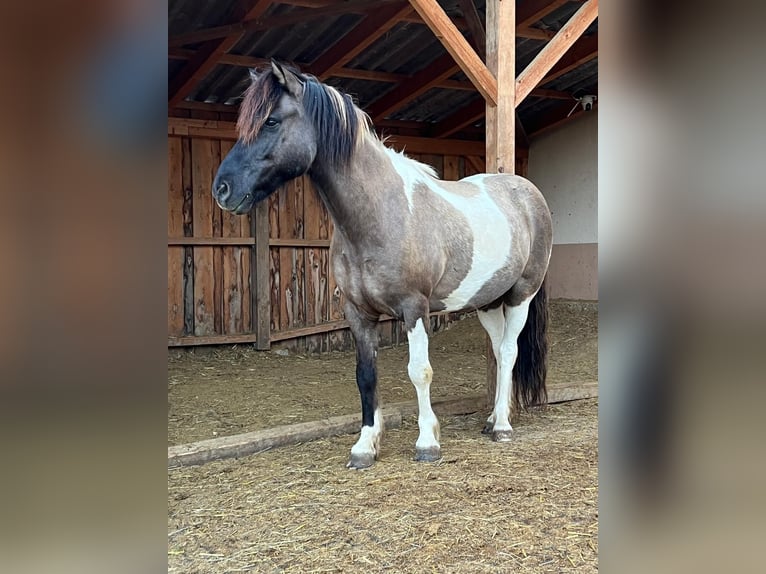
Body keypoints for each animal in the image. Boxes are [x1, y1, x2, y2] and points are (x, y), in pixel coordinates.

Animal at [213, 61, 553, 469]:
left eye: (272, 121)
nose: (222, 189)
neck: (379, 215)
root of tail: (528, 192)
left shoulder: (414, 307)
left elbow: (419, 371)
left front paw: (427, 443)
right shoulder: (358, 312)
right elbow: (366, 375)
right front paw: (365, 446)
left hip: (521, 294)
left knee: (509, 351)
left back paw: (502, 425)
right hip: (487, 301)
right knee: (501, 350)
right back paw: (490, 420)